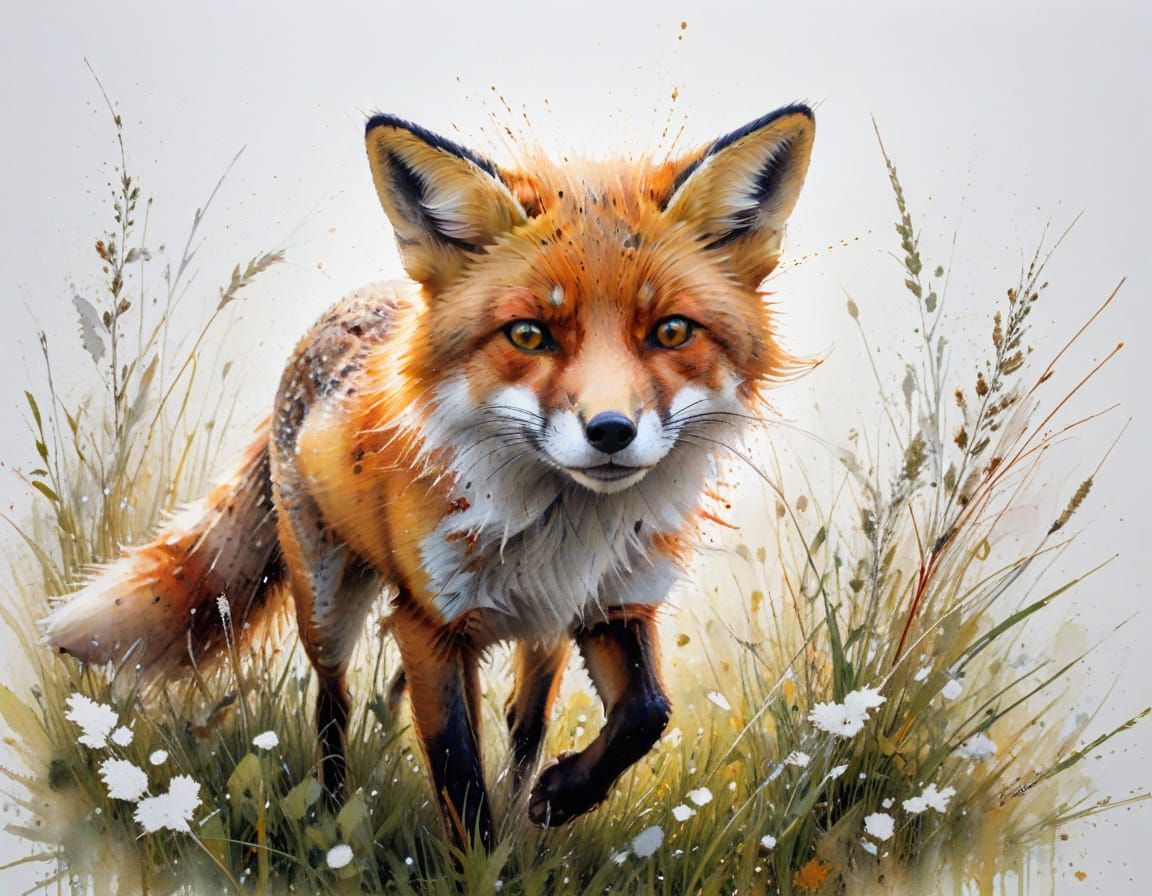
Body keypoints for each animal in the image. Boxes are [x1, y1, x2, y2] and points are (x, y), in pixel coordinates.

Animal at [42, 103, 815, 849]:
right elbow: (459, 774)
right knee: (333, 706)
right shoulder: (431, 625)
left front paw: (560, 797)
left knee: (519, 717)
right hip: (327, 604)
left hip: (535, 638)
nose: (611, 432)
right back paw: (333, 812)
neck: (562, 533)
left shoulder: (612, 605)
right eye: (530, 334)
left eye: (672, 332)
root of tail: (347, 308)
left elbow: (646, 712)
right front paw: (477, 863)